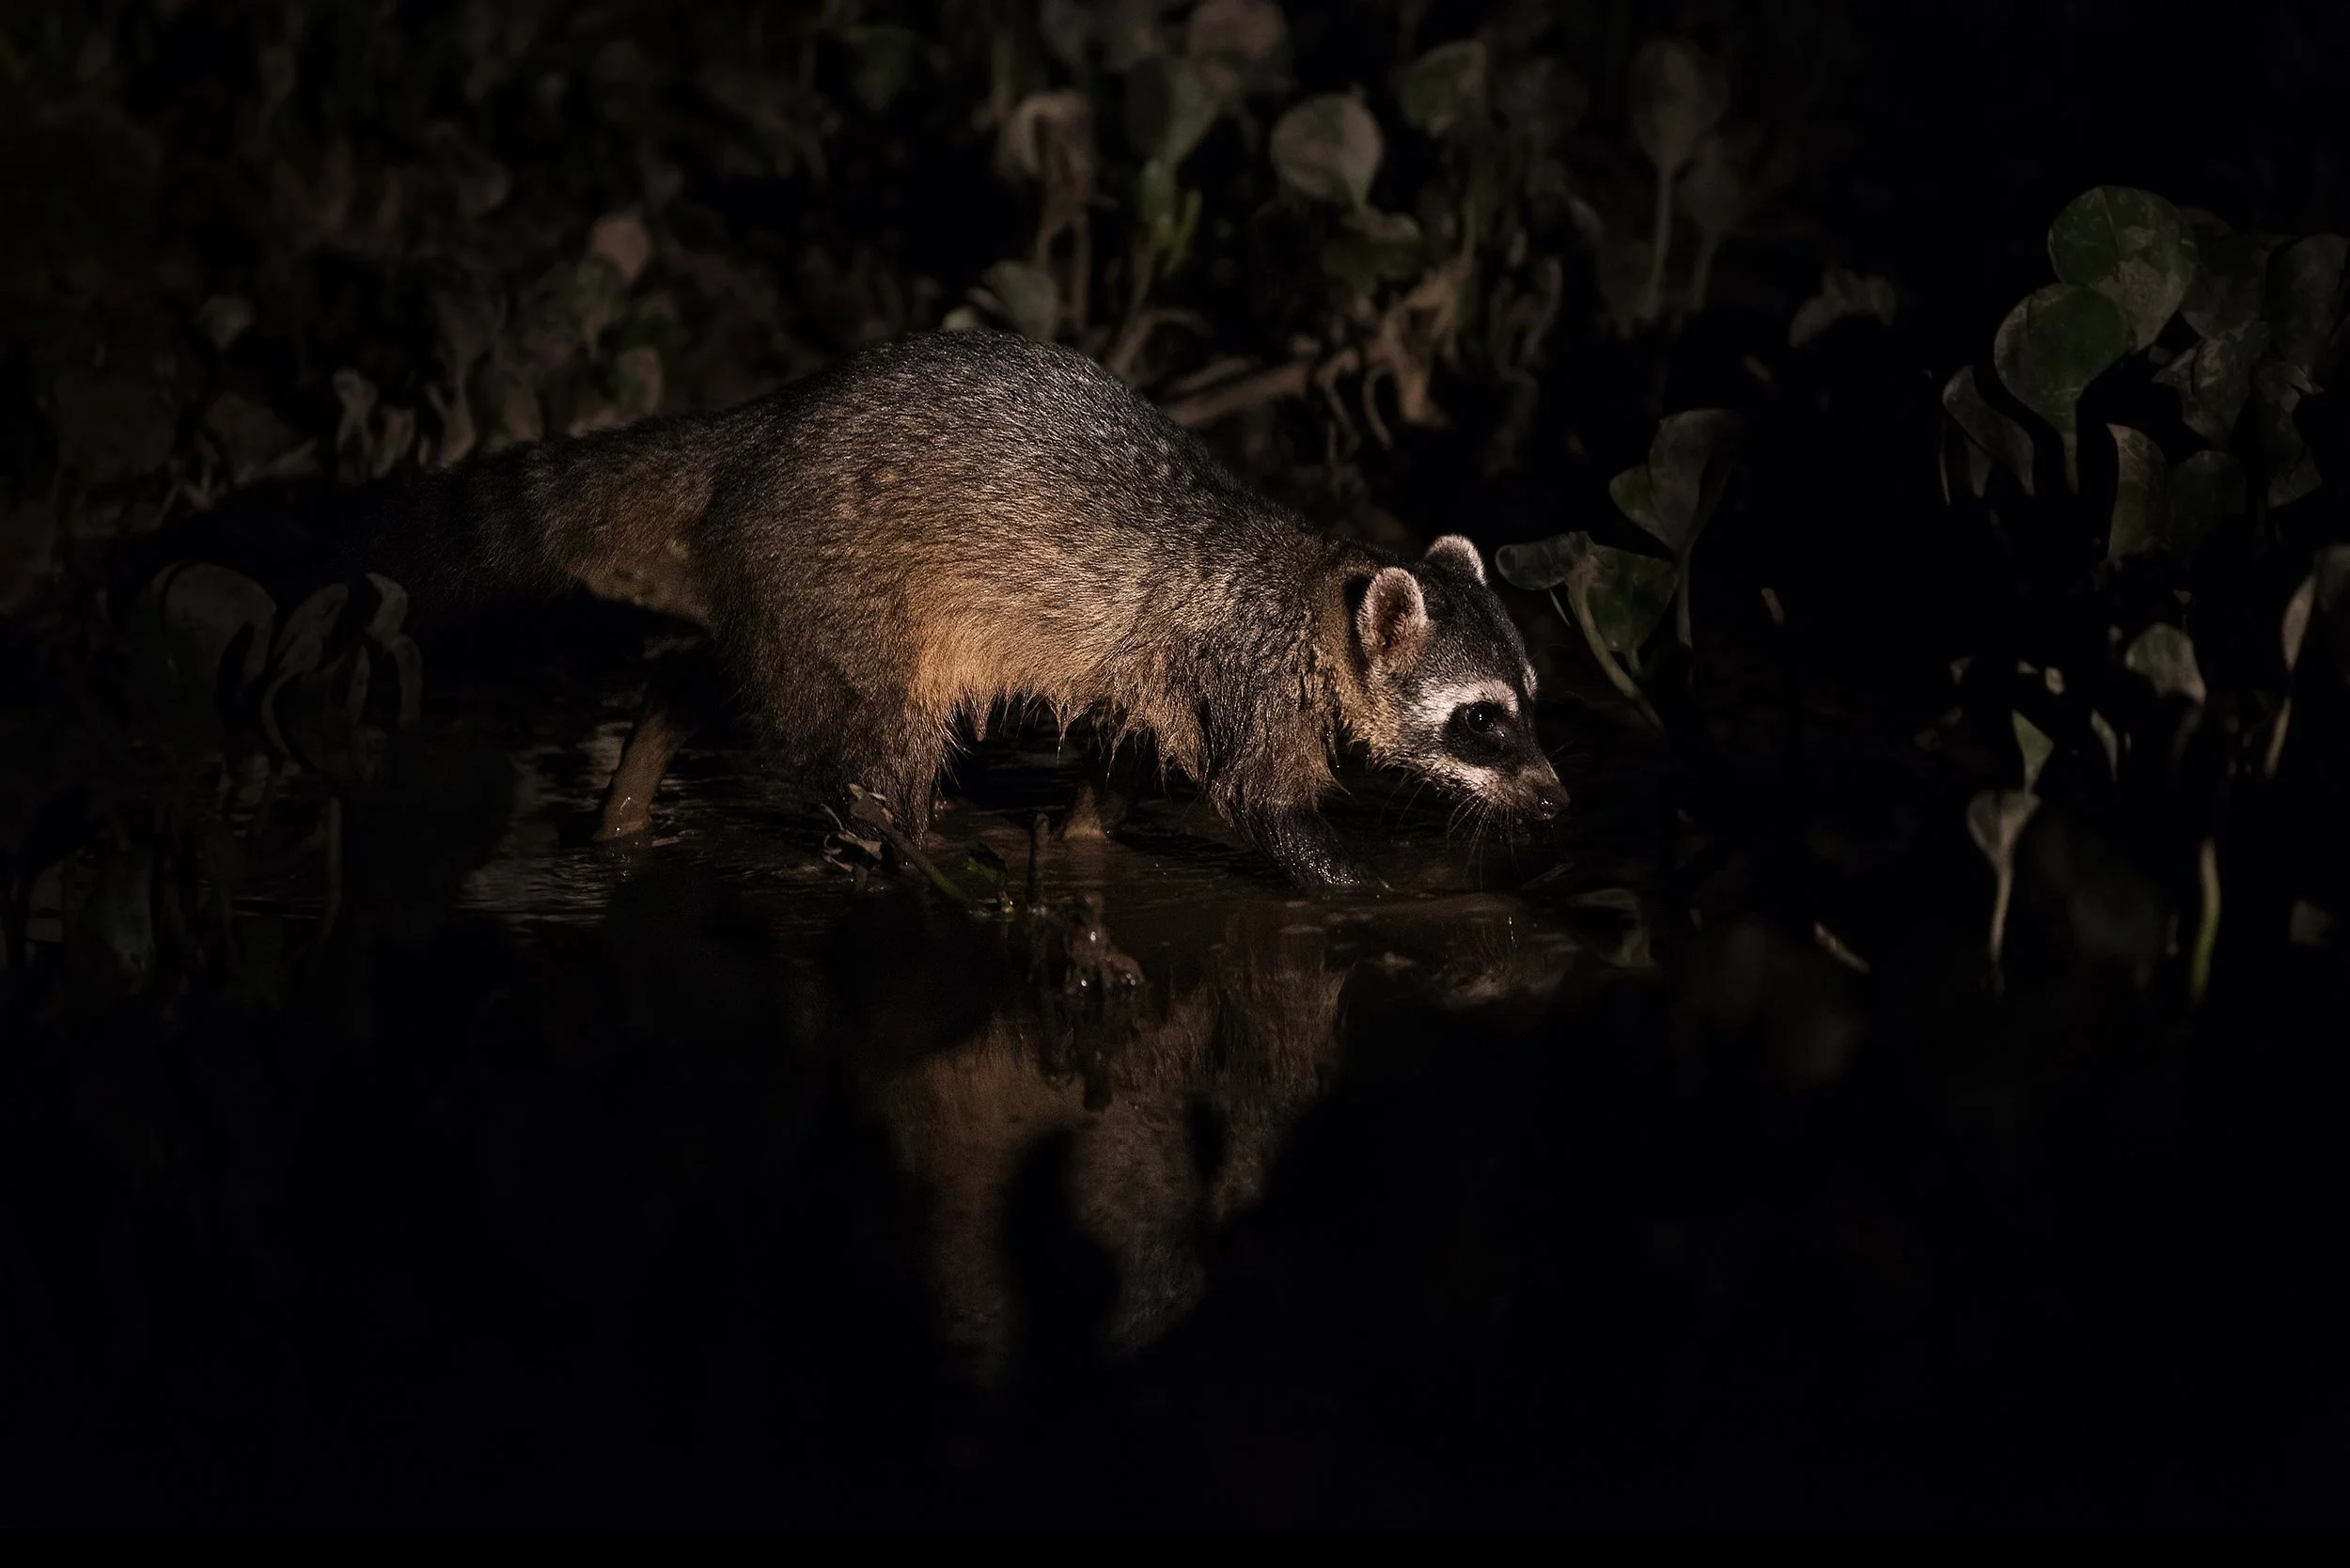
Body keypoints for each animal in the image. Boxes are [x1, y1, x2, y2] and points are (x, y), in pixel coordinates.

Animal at [369, 330, 1563, 886]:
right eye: (1481, 719)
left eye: (1531, 700)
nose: (1556, 803)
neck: (1320, 581)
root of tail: (761, 424)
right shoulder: (1247, 665)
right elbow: (1256, 798)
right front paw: (1367, 884)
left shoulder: (1157, 674)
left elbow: (1121, 761)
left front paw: (1083, 839)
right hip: (847, 578)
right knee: (872, 738)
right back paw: (905, 852)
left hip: (790, 588)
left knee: (726, 670)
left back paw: (652, 742)